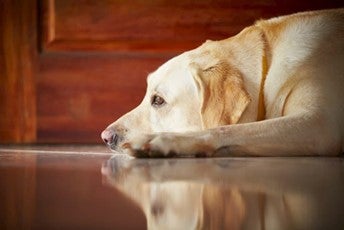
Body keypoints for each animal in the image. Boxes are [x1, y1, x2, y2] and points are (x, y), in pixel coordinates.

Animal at [101, 8, 344, 156]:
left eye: (158, 100)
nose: (106, 137)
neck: (268, 58)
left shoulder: (318, 123)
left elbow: (227, 129)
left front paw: (162, 141)